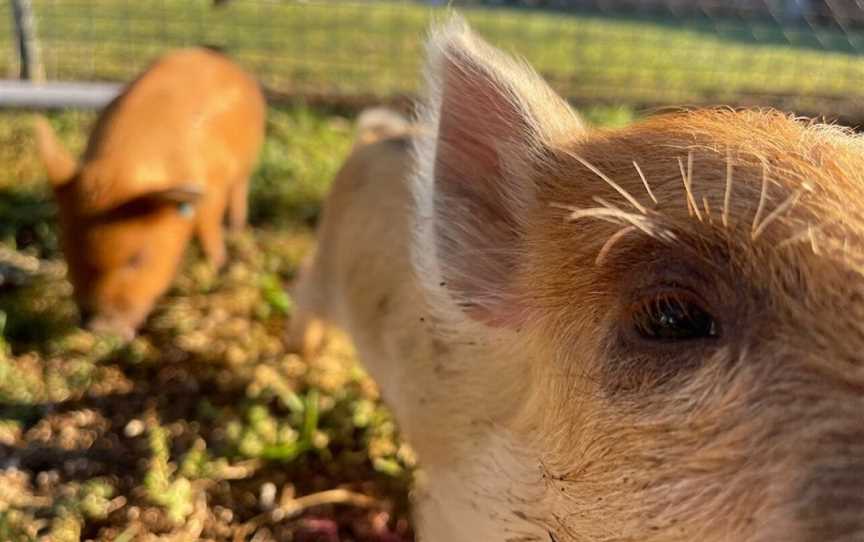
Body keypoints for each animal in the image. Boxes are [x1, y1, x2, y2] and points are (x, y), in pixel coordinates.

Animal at [36, 49, 266, 342]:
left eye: (137, 258)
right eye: (65, 247)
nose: (99, 329)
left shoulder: (213, 190)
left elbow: (210, 230)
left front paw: (219, 266)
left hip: (247, 163)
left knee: (240, 192)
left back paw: (236, 230)